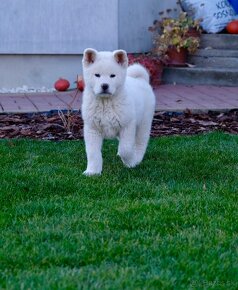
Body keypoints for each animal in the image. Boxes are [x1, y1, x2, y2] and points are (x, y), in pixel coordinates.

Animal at [82, 48, 155, 176]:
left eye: (112, 76)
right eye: (97, 75)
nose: (104, 86)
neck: (105, 103)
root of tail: (141, 80)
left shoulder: (127, 125)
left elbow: (125, 149)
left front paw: (130, 162)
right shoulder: (92, 128)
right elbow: (93, 153)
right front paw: (92, 171)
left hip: (144, 123)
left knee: (140, 143)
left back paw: (137, 158)